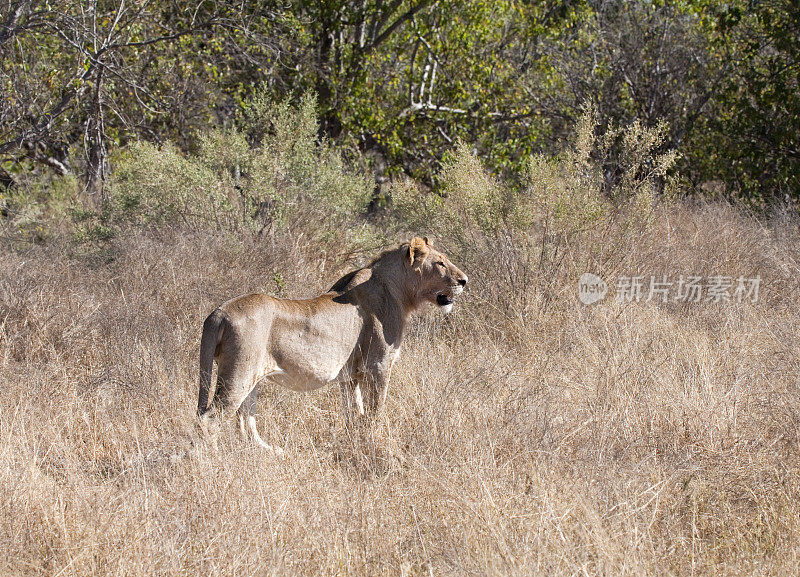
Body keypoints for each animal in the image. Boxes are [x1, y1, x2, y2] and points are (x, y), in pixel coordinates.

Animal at [196, 236, 466, 452]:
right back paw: (213, 460)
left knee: (245, 420)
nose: (464, 280)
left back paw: (270, 452)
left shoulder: (350, 375)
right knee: (209, 420)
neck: (399, 291)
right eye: (440, 263)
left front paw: (356, 442)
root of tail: (218, 314)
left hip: (251, 378)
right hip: (238, 373)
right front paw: (377, 442)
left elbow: (354, 413)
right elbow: (376, 410)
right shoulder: (378, 365)